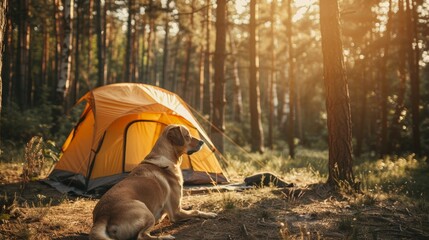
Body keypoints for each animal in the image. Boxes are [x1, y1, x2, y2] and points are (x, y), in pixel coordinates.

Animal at [89, 124, 217, 239]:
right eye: (187, 136)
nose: (202, 142)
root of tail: (102, 216)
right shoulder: (175, 212)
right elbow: (196, 211)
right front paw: (209, 214)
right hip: (146, 212)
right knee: (142, 236)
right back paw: (166, 237)